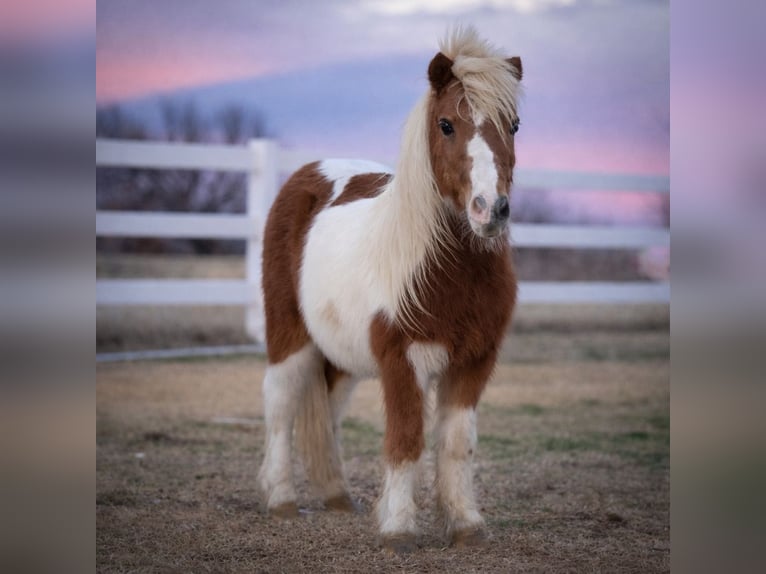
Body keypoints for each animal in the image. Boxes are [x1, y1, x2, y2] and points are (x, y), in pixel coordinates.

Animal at [258, 26, 523, 553]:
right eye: (446, 125)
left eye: (515, 125)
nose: (491, 209)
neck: (442, 269)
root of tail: (307, 173)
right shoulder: (403, 361)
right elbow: (405, 440)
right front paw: (399, 528)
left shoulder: (474, 361)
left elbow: (456, 444)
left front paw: (465, 524)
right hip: (290, 335)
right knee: (279, 403)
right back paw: (281, 500)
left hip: (341, 355)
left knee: (328, 411)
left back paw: (338, 496)